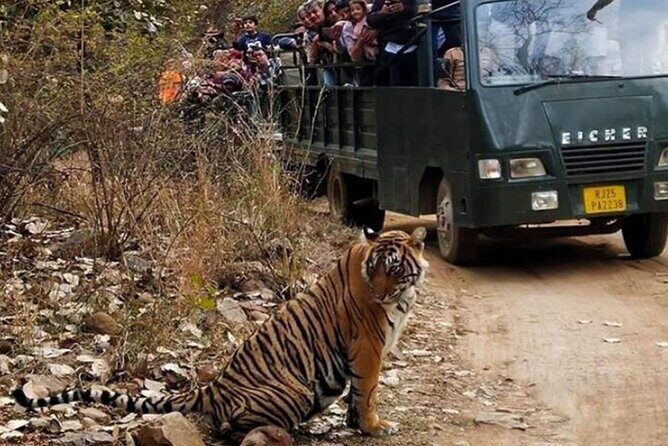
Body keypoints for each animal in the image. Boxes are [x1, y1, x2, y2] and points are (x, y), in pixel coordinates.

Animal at [12, 227, 429, 443]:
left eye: (393, 269)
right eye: (375, 269)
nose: (379, 294)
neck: (404, 295)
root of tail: (212, 388)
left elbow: (358, 395)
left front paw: (355, 424)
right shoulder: (368, 347)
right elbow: (368, 391)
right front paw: (374, 426)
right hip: (295, 391)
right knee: (232, 428)